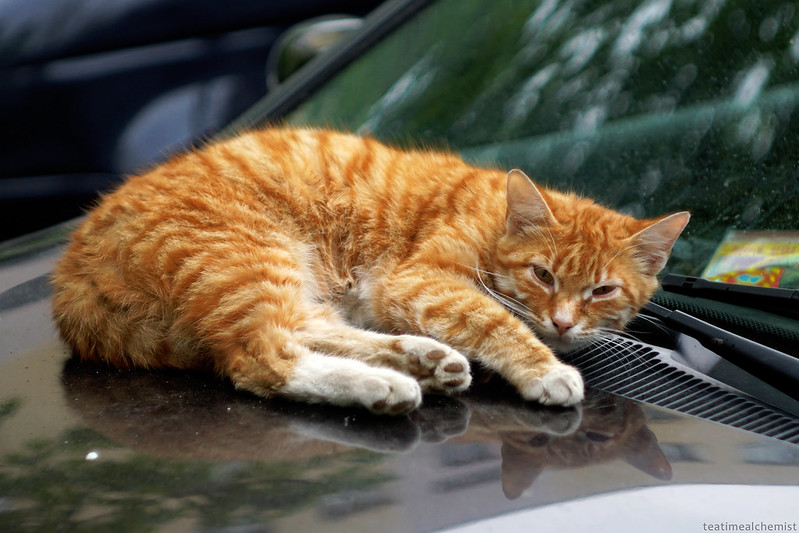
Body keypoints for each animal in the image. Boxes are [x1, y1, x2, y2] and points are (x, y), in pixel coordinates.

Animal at [51, 127, 689, 414]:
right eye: (543, 275)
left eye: (602, 290)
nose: (562, 322)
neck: (495, 219)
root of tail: (71, 271)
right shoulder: (419, 280)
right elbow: (495, 320)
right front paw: (544, 368)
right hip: (248, 257)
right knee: (264, 358)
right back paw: (383, 384)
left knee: (307, 328)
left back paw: (419, 358)